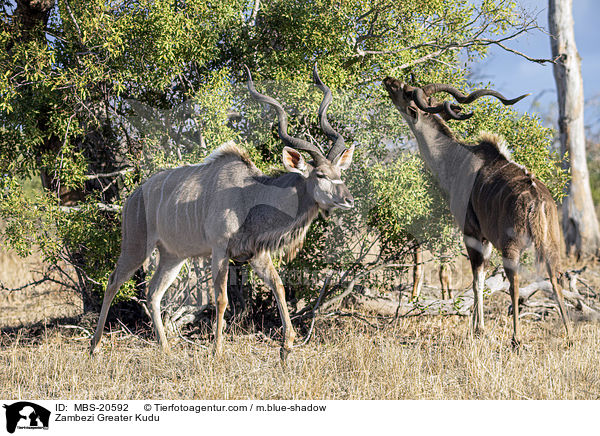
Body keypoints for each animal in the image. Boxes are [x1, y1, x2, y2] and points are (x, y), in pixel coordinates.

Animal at [91, 63, 354, 358]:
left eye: (340, 173)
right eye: (320, 175)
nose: (348, 200)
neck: (251, 195)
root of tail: (135, 196)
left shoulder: (256, 254)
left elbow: (279, 286)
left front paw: (287, 344)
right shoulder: (220, 250)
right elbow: (221, 298)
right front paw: (217, 350)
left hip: (172, 256)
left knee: (153, 293)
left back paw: (166, 349)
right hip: (136, 247)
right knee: (113, 281)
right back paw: (95, 346)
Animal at [384, 76, 572, 346]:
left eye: (407, 91)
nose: (388, 80)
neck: (455, 159)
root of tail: (538, 199)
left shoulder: (472, 233)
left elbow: (476, 281)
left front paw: (478, 329)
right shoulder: (486, 239)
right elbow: (480, 281)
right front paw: (475, 326)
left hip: (511, 247)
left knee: (515, 283)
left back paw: (516, 338)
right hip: (551, 245)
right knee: (556, 278)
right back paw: (569, 336)